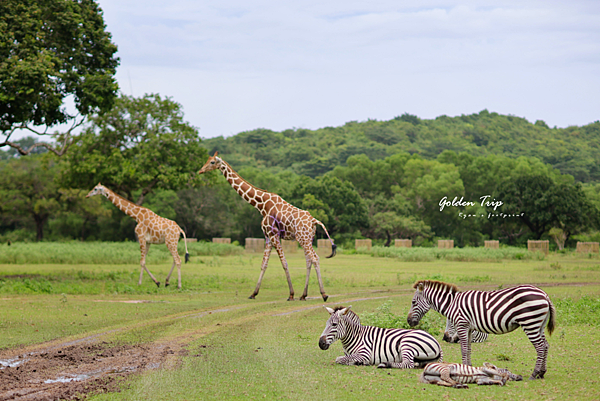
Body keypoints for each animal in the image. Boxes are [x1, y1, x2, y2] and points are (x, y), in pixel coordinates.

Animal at [406, 278, 556, 378]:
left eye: (413, 302)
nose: (408, 321)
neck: (453, 304)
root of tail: (544, 294)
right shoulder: (469, 328)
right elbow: (469, 349)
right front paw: (469, 367)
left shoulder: (462, 325)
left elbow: (463, 348)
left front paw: (464, 367)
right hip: (539, 324)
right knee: (546, 345)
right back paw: (542, 373)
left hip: (530, 322)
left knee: (540, 347)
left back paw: (534, 374)